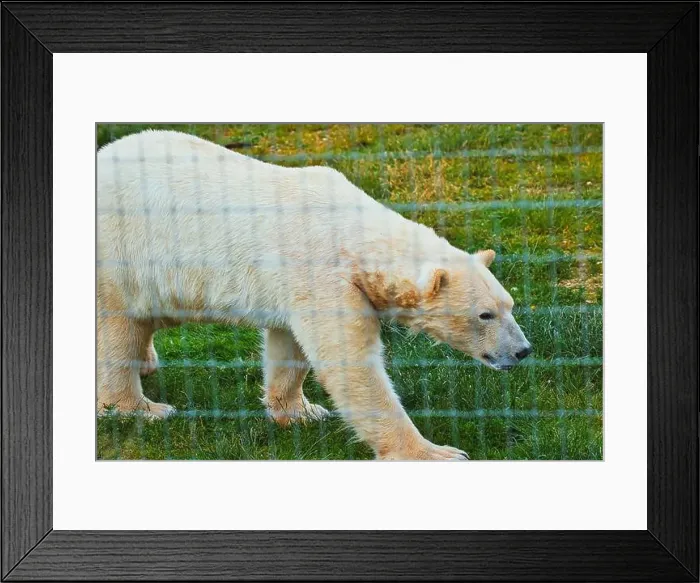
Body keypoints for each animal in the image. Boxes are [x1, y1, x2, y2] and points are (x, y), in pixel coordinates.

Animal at [97, 130, 532, 460]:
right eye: (485, 315)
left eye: (509, 306)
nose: (523, 350)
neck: (354, 235)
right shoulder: (321, 272)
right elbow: (351, 364)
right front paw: (436, 453)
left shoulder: (298, 286)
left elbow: (289, 346)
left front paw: (300, 412)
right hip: (124, 253)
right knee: (118, 327)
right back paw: (142, 408)